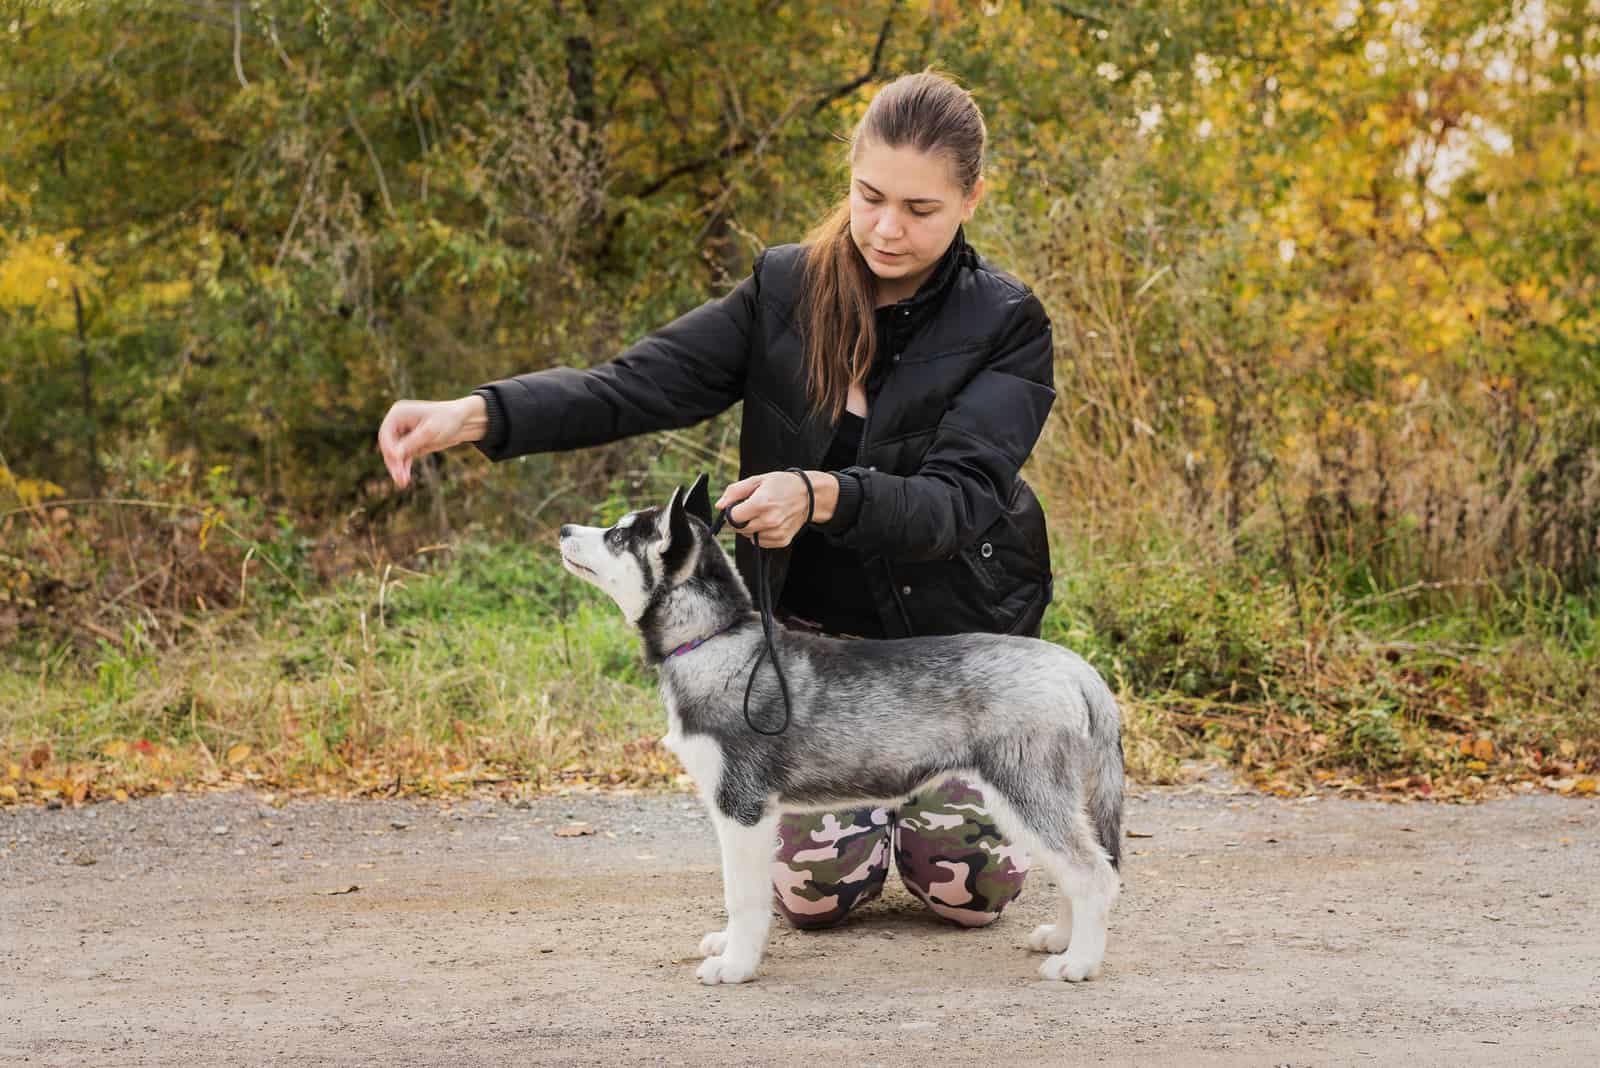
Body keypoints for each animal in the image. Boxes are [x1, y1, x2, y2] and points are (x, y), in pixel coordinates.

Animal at [560, 476, 1126, 984]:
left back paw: (1079, 962)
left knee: (1094, 873)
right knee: (1079, 867)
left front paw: (736, 964)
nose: (564, 529)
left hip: (1026, 791)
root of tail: (1073, 665)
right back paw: (1062, 938)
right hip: (1032, 799)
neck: (713, 641)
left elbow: (742, 895)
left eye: (618, 535)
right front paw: (728, 945)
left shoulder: (741, 808)